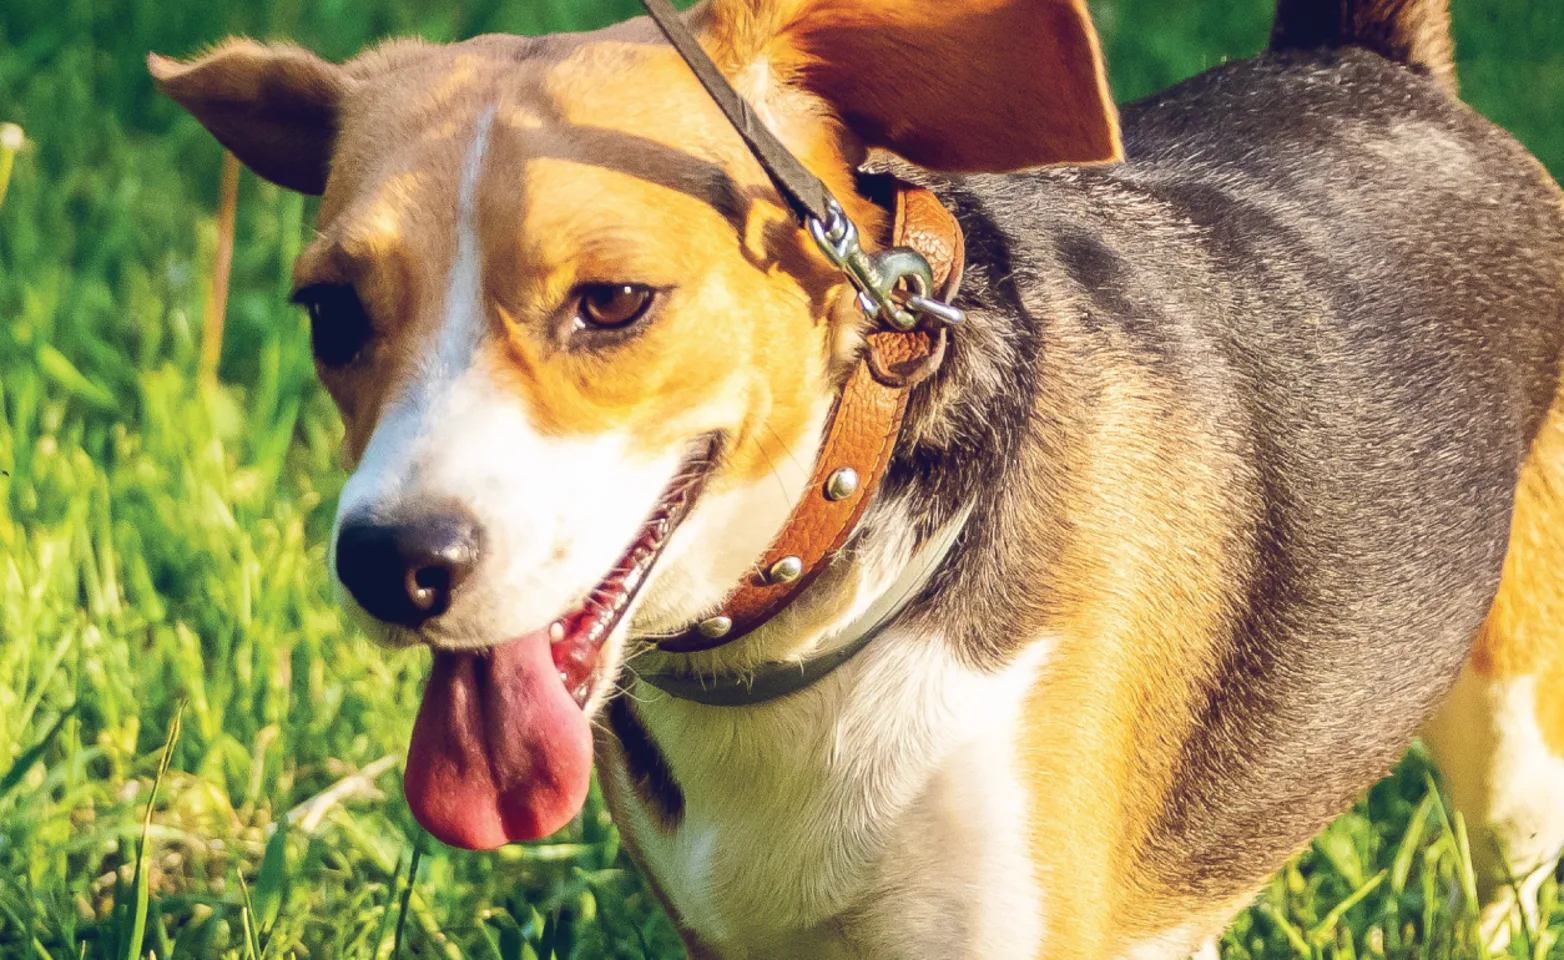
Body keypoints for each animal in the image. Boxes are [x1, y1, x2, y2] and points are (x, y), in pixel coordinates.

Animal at [152, 0, 1564, 956]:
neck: (825, 594)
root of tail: (1368, 67)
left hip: (1513, 739)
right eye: (332, 315)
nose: (390, 561)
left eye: (613, 303)